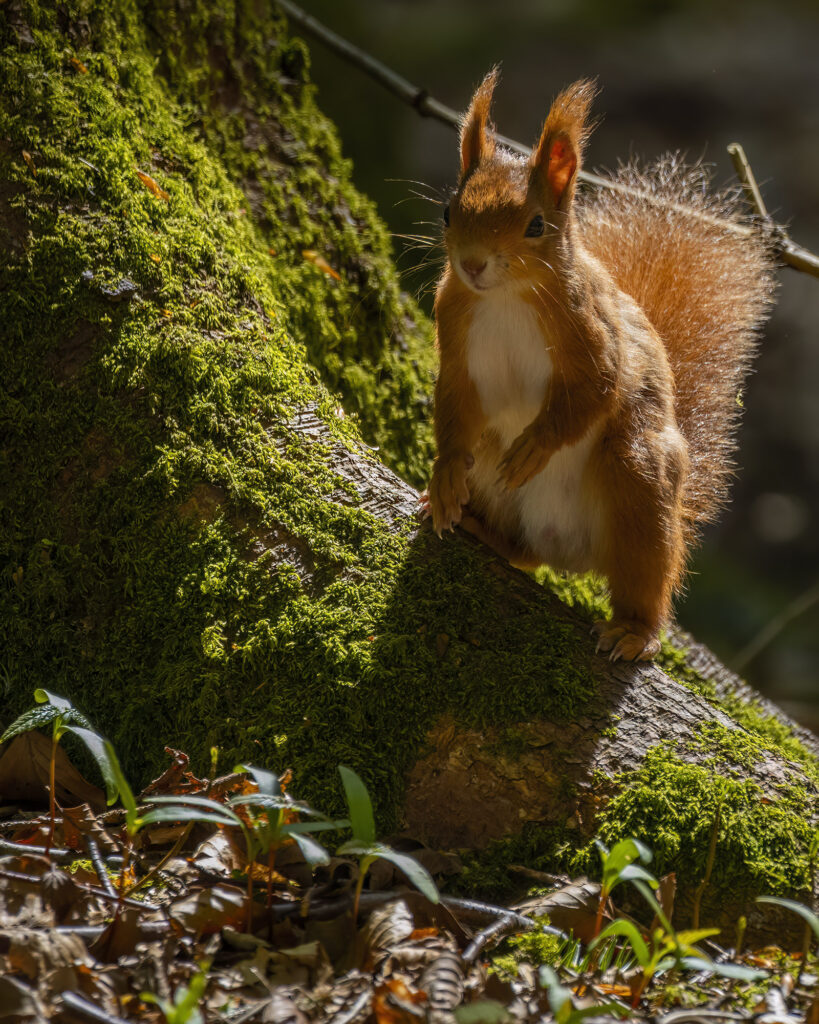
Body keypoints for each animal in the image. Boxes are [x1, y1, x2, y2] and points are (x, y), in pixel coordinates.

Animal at [424, 71, 775, 661]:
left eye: (536, 225)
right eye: (450, 211)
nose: (472, 264)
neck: (506, 297)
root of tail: (569, 551)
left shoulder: (594, 334)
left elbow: (597, 391)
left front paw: (537, 447)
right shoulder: (453, 335)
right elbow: (453, 404)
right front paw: (446, 473)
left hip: (637, 480)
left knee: (646, 579)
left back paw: (633, 631)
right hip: (507, 490)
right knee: (522, 551)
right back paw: (478, 525)